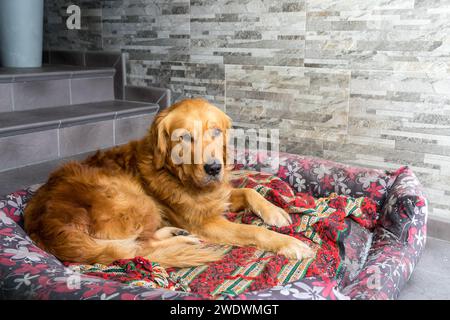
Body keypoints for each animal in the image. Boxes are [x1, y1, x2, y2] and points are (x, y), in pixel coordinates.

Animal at [23, 98, 312, 268]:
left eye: (216, 131)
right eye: (184, 137)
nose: (213, 168)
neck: (180, 177)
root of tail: (46, 224)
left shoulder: (219, 195)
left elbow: (251, 191)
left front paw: (275, 212)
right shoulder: (206, 222)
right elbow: (253, 231)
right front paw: (290, 244)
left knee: (139, 243)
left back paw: (175, 234)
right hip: (138, 201)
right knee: (137, 248)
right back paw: (184, 241)